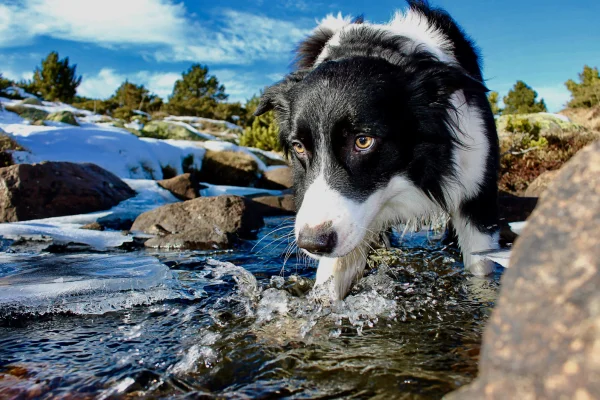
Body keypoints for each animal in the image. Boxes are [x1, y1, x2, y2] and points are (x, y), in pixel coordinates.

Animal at [255, 0, 500, 300]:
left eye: (363, 141)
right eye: (299, 147)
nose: (312, 243)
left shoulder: (476, 193)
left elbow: (481, 271)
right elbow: (329, 282)